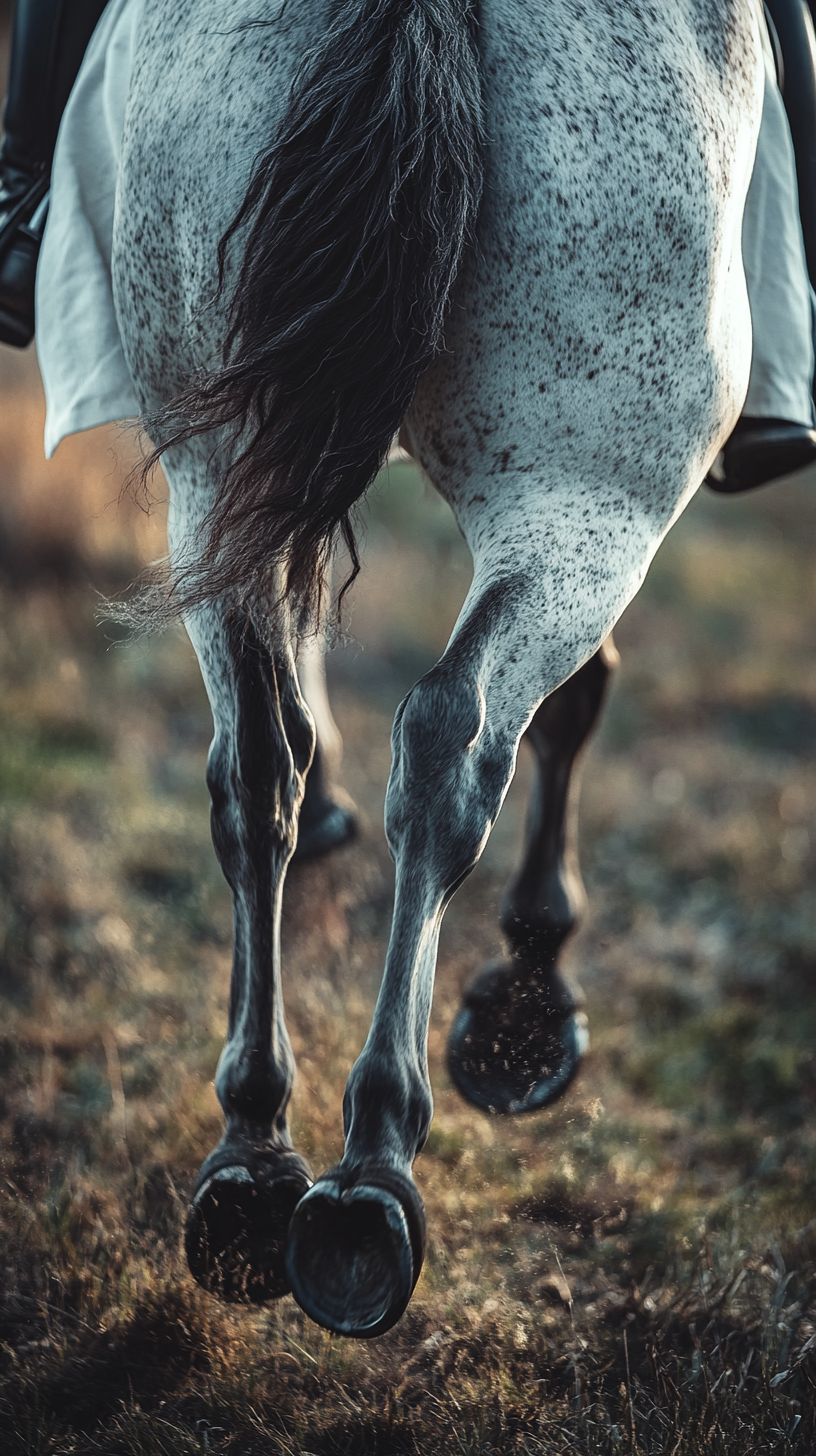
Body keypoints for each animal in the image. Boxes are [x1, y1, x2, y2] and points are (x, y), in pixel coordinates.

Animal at [112, 0, 763, 1333]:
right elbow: (571, 702)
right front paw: (528, 989)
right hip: (588, 494)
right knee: (454, 742)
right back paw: (374, 1167)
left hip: (209, 471)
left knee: (257, 760)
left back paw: (253, 1153)